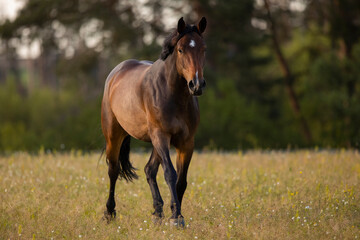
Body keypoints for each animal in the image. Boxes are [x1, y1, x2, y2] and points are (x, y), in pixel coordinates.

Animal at [101, 16, 207, 227]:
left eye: (203, 48)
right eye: (181, 49)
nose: (196, 84)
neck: (173, 94)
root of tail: (115, 73)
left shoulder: (186, 142)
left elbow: (181, 180)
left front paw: (177, 215)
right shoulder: (161, 136)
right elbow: (170, 174)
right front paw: (176, 217)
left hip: (155, 142)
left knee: (149, 170)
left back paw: (157, 213)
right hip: (115, 136)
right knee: (113, 170)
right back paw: (109, 212)